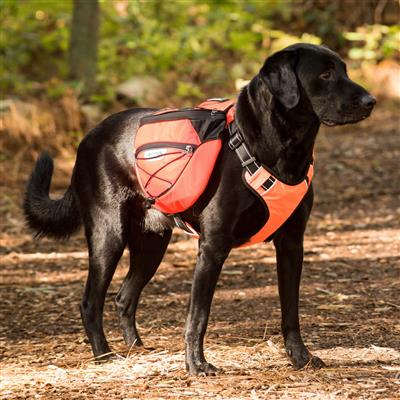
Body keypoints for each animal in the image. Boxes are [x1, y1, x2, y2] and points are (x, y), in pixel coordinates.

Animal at [24, 43, 376, 376]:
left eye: (344, 69)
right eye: (325, 74)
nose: (371, 100)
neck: (279, 148)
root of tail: (86, 139)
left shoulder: (292, 243)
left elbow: (291, 310)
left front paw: (300, 358)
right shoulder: (212, 247)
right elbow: (198, 315)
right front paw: (196, 365)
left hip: (152, 242)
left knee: (124, 297)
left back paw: (138, 348)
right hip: (108, 235)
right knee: (90, 302)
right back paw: (104, 355)